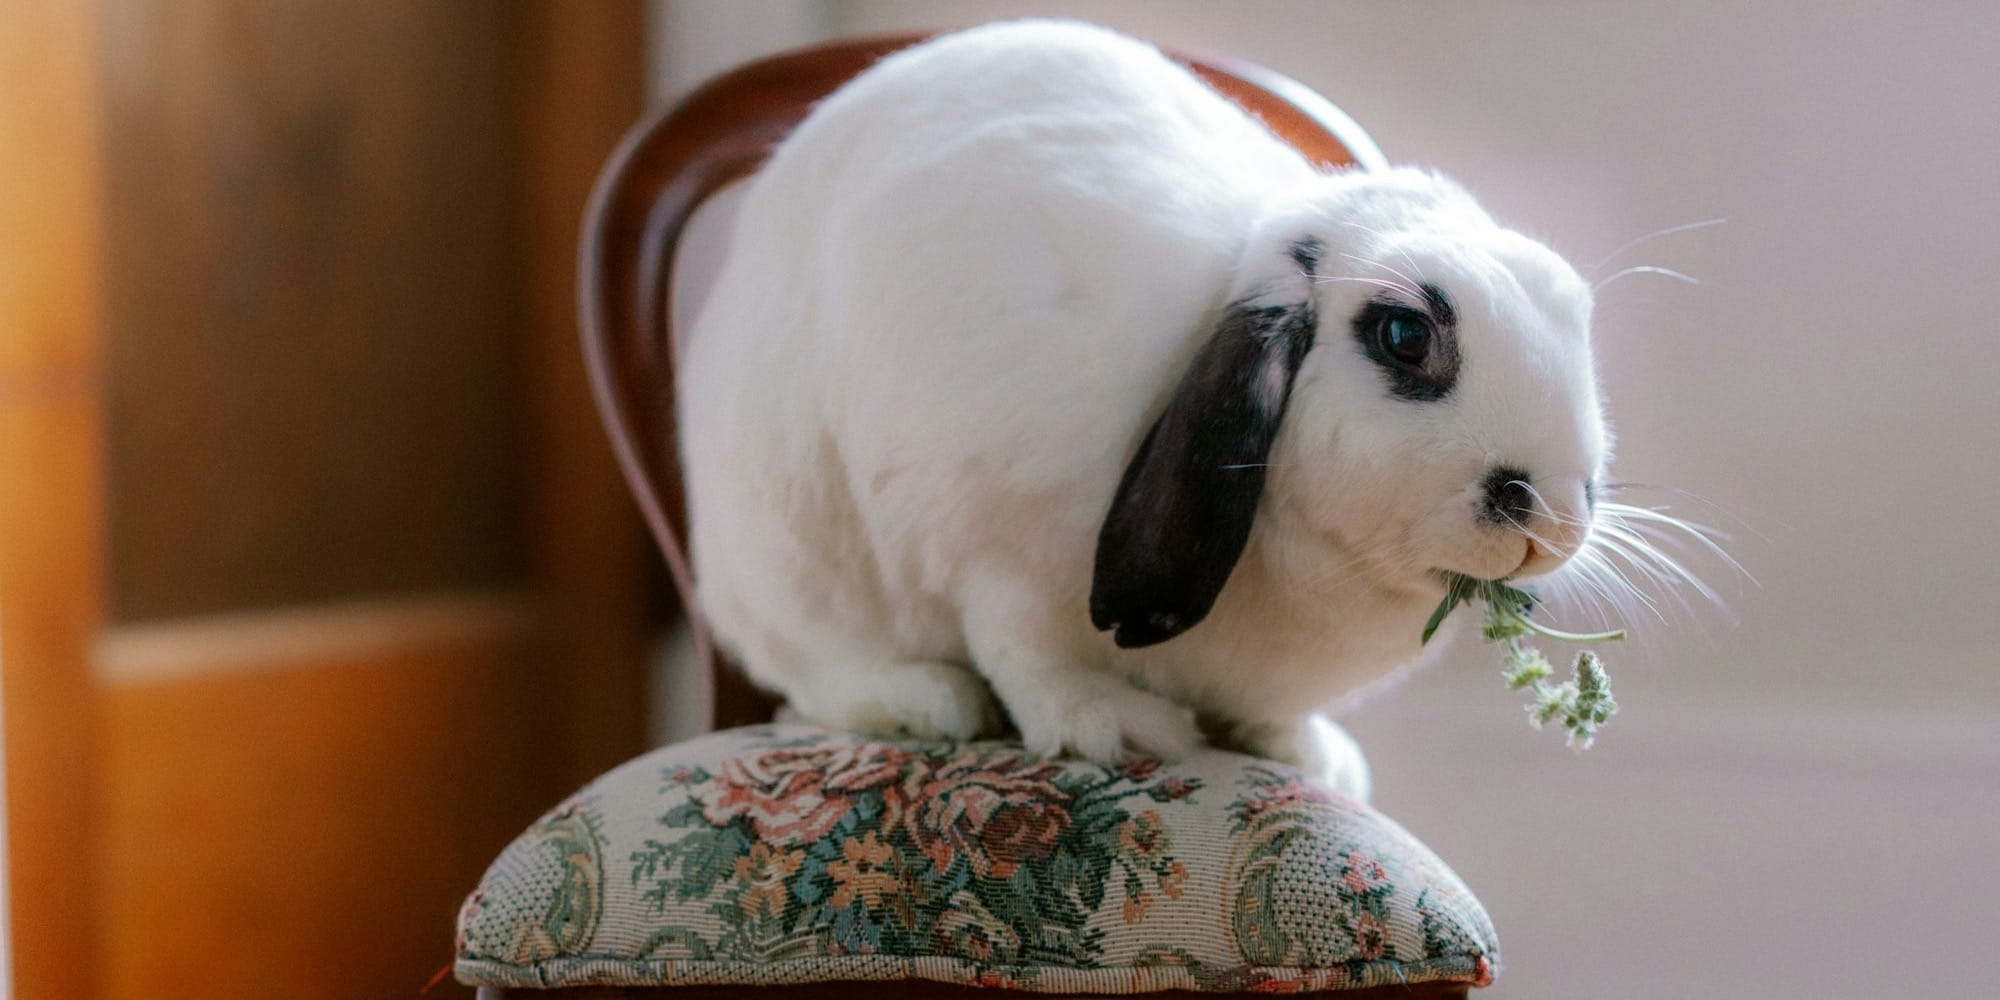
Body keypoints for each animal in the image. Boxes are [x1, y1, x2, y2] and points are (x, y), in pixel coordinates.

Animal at [678, 20, 1606, 802]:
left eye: (1573, 308)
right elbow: (1027, 655)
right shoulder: (992, 550)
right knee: (813, 673)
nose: (1549, 511)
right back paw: (928, 699)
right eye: (1404, 335)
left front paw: (1311, 757)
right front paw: (1111, 727)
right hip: (792, 555)